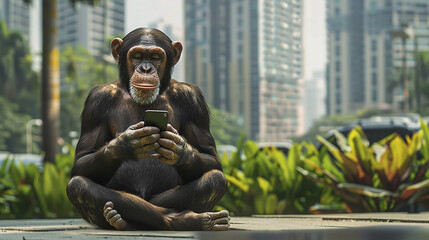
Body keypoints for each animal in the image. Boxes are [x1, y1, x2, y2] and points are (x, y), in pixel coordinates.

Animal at [65, 28, 229, 231]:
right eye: (137, 56)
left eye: (156, 57)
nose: (145, 68)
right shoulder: (97, 100)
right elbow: (81, 160)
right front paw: (126, 144)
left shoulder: (193, 99)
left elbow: (211, 158)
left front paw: (179, 149)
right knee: (79, 186)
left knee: (215, 180)